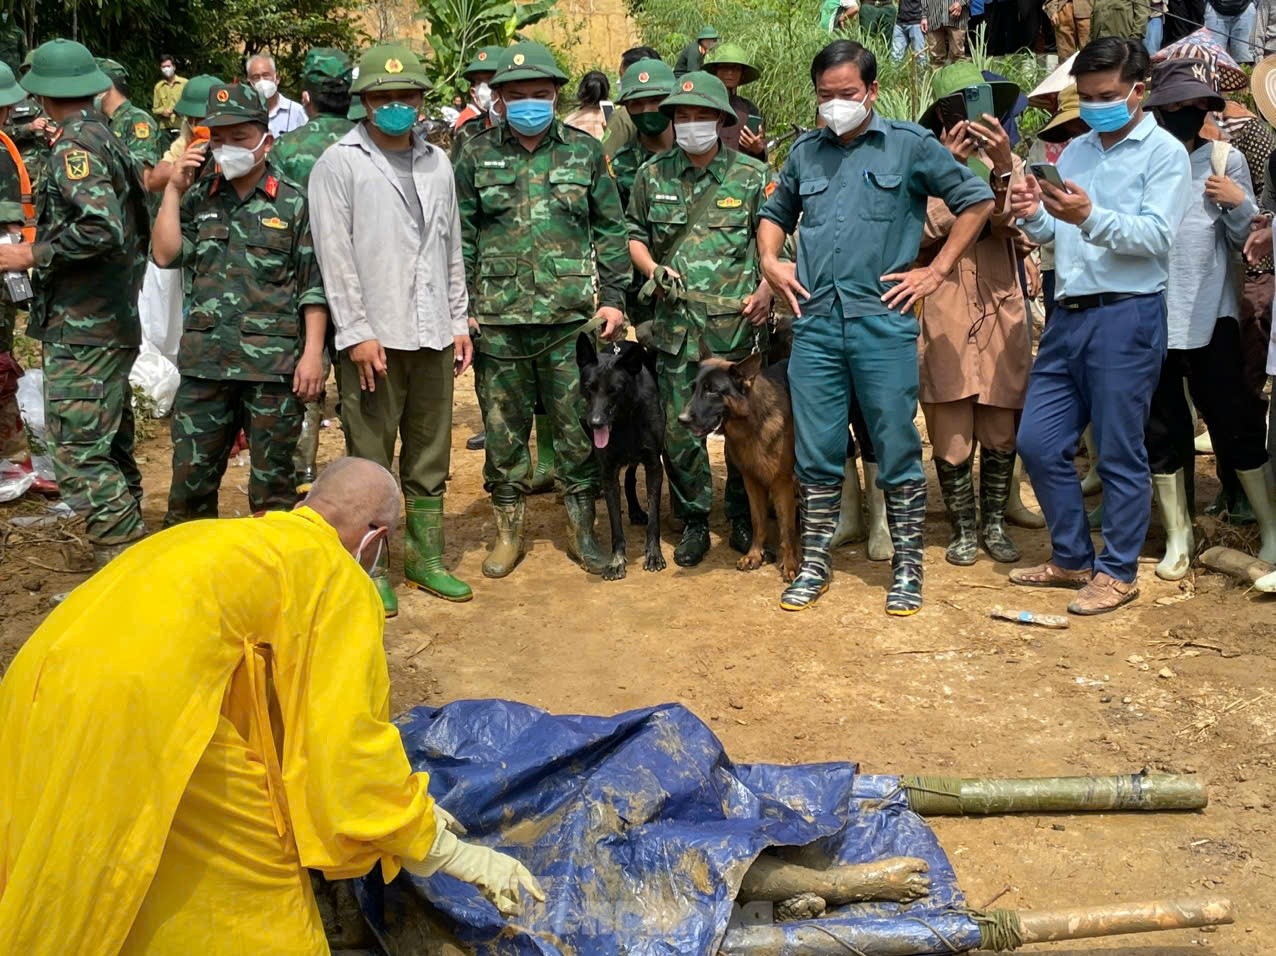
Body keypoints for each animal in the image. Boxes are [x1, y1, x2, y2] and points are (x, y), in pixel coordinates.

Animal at [574, 331, 663, 576]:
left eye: (614, 390)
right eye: (589, 387)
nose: (594, 423)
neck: (624, 421)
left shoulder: (654, 466)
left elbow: (654, 519)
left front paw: (654, 554)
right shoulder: (608, 473)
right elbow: (616, 524)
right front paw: (616, 560)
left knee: (631, 477)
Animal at [683, 349, 791, 574]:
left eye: (712, 390)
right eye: (694, 389)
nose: (682, 419)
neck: (752, 425)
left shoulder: (782, 483)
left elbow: (787, 529)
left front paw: (790, 564)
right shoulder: (751, 481)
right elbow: (757, 521)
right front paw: (754, 555)